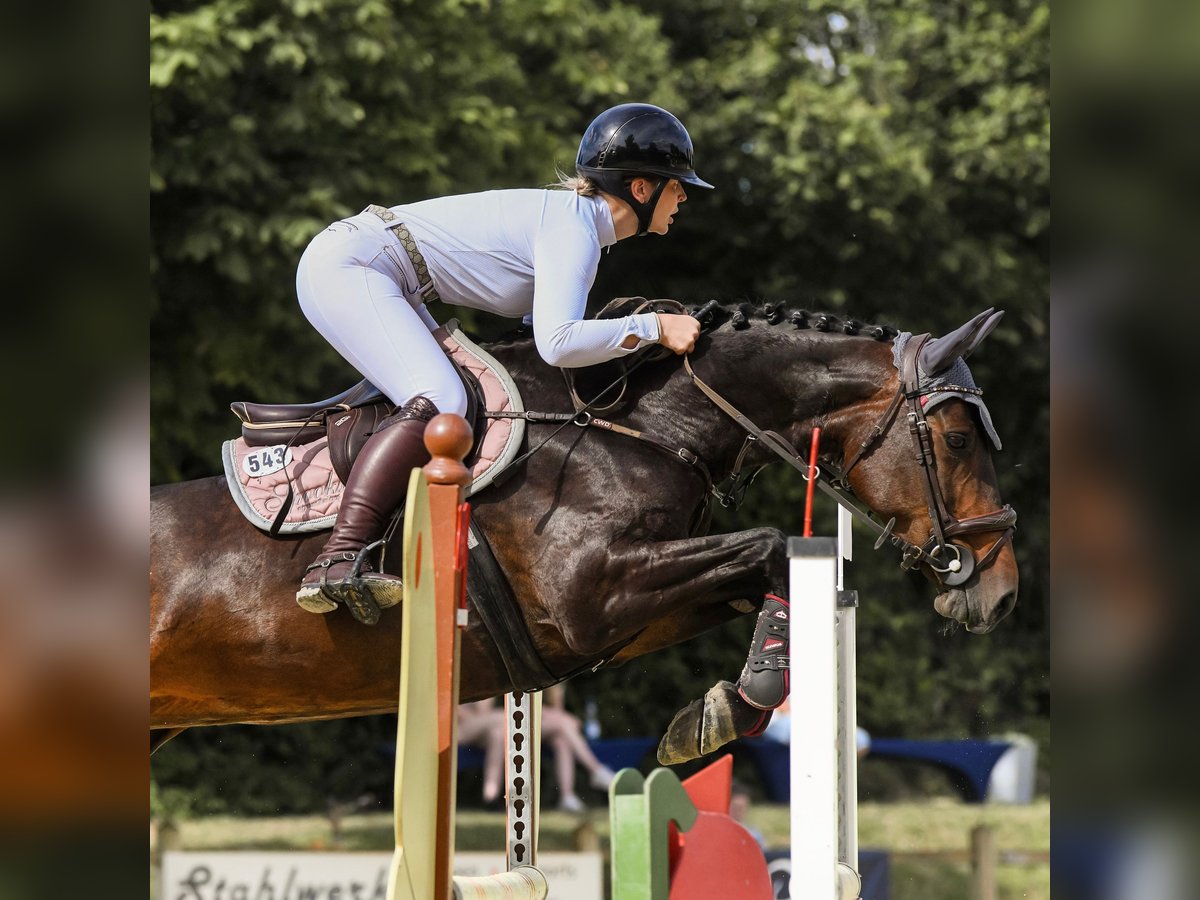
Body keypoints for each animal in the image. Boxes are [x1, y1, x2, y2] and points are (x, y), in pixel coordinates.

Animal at [145, 301, 1017, 763]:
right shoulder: (590, 596)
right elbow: (769, 546)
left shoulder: (627, 614)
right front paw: (738, 703)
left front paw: (716, 713)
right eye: (957, 440)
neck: (642, 426)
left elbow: (755, 574)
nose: (1001, 594)